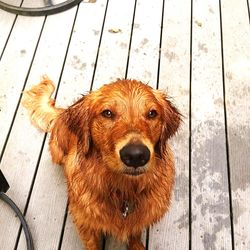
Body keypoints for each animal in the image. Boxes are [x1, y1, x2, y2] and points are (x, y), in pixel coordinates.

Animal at [22, 76, 181, 250]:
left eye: (152, 113)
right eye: (107, 113)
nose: (136, 155)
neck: (124, 193)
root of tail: (62, 113)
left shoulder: (139, 221)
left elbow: (134, 235)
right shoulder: (86, 224)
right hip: (57, 151)